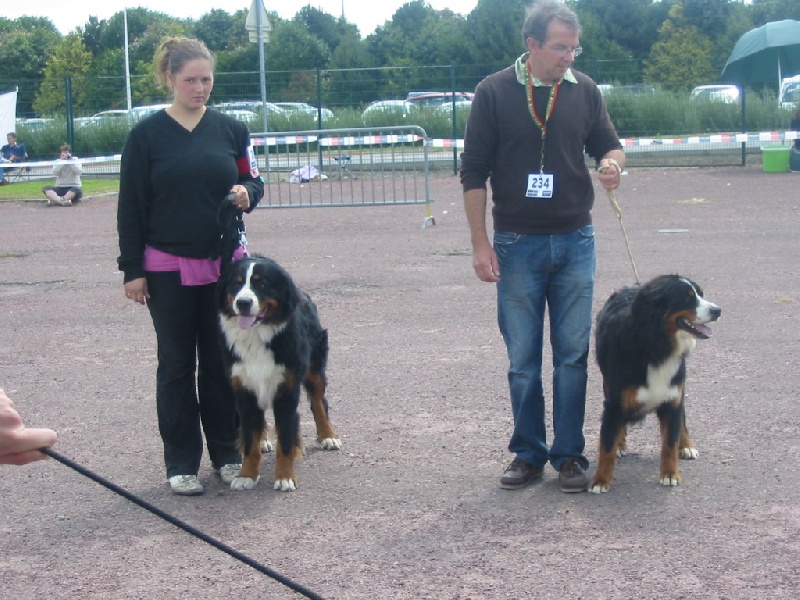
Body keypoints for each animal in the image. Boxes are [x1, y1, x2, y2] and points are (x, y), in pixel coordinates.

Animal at [219, 254, 340, 492]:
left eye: (262, 284)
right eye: (237, 283)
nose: (243, 302)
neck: (257, 336)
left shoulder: (286, 390)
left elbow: (285, 438)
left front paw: (285, 477)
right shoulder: (245, 390)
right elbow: (250, 439)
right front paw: (246, 475)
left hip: (314, 370)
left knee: (318, 403)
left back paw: (327, 436)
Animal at [592, 274, 720, 494]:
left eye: (700, 294)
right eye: (687, 298)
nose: (717, 311)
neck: (657, 346)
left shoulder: (672, 399)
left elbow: (670, 442)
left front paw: (670, 474)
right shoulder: (615, 402)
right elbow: (607, 445)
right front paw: (600, 480)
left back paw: (686, 445)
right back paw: (620, 444)